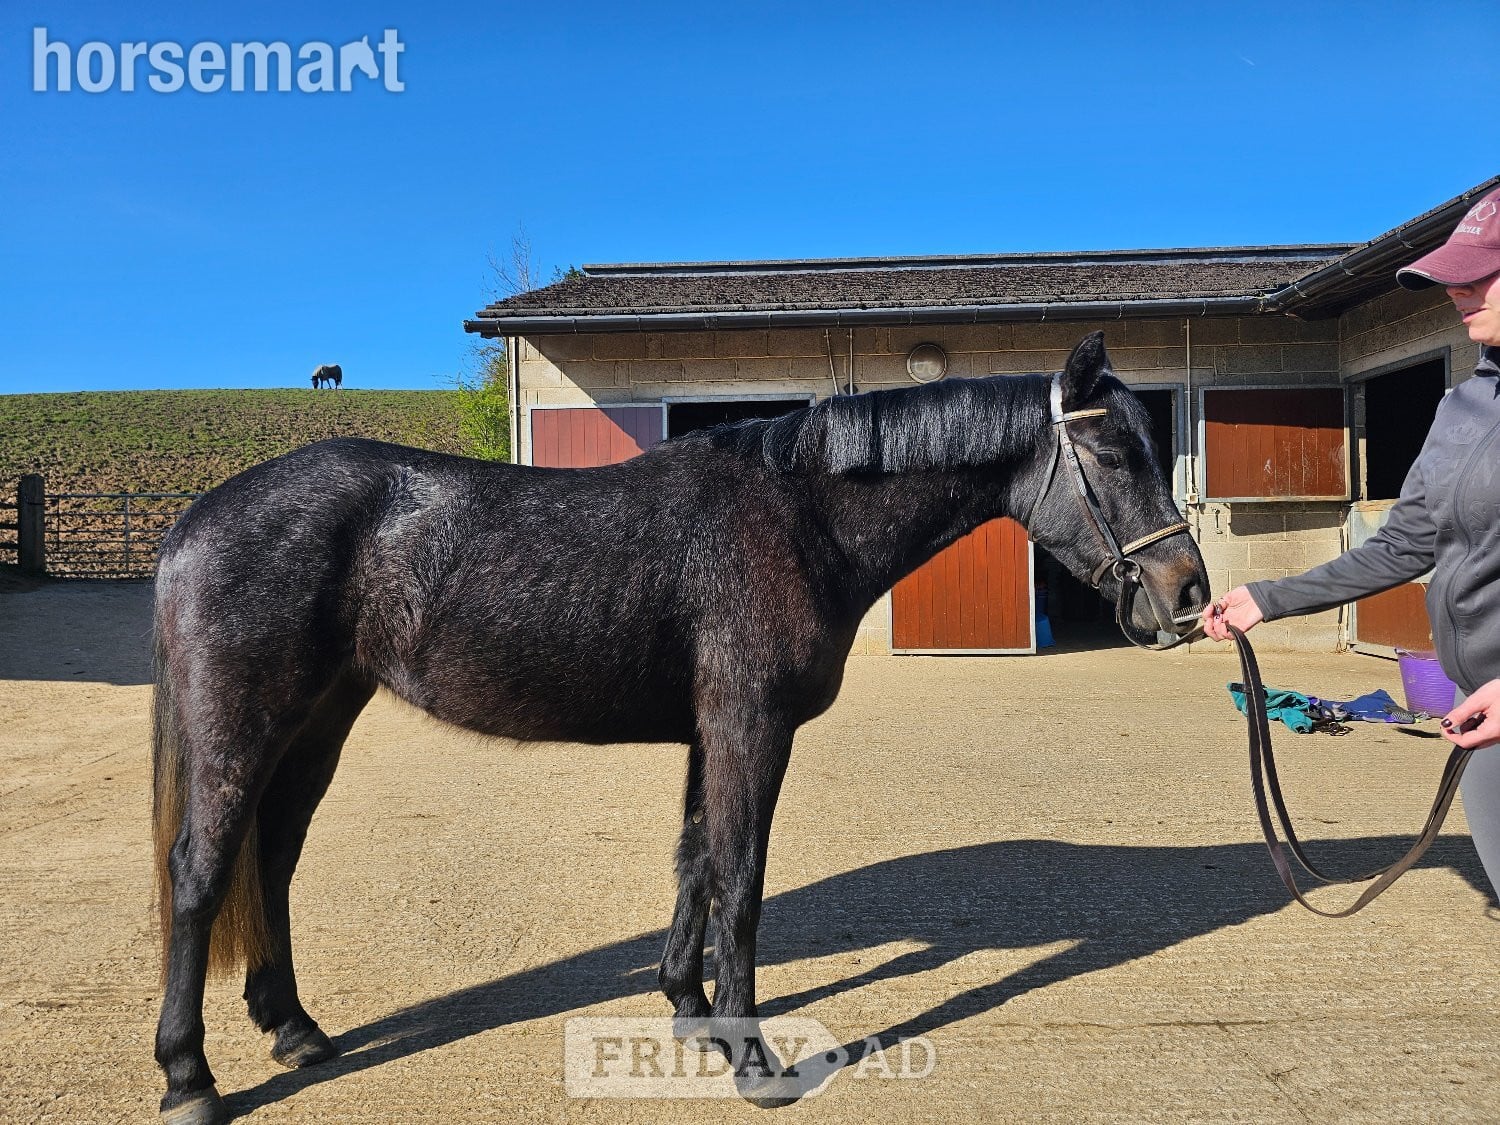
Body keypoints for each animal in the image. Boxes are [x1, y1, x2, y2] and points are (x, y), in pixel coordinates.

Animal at [149, 331, 1209, 1122]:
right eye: (1114, 451)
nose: (1188, 594)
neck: (795, 514)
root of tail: (197, 520)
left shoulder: (713, 731)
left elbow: (695, 858)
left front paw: (690, 1010)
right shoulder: (750, 724)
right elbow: (740, 876)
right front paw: (750, 1055)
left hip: (319, 717)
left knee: (272, 856)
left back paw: (294, 1028)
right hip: (246, 723)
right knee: (200, 872)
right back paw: (190, 1078)